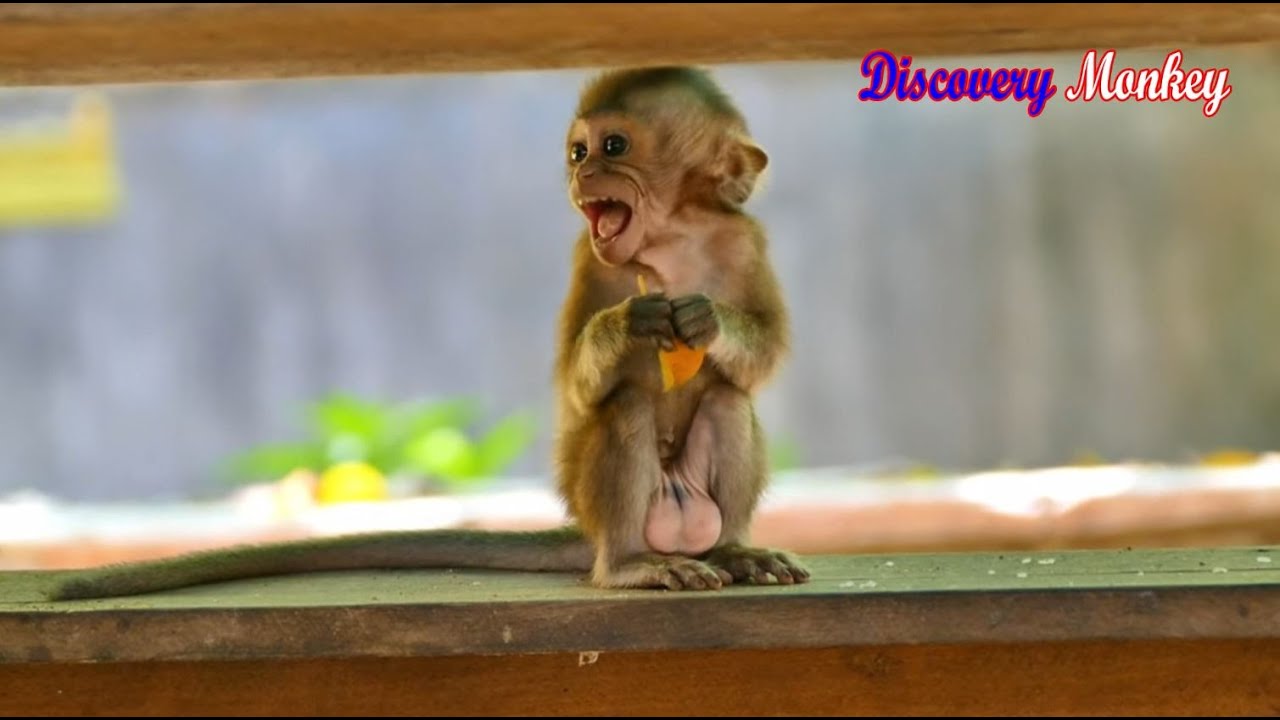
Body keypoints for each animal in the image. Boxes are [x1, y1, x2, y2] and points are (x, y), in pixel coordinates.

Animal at [42, 66, 808, 601]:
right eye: (578, 152)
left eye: (613, 147)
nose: (583, 174)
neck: (671, 238)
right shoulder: (589, 257)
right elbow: (577, 380)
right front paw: (631, 322)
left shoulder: (745, 240)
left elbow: (764, 351)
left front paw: (705, 320)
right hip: (606, 504)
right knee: (625, 409)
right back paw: (628, 566)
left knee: (727, 400)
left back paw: (733, 550)